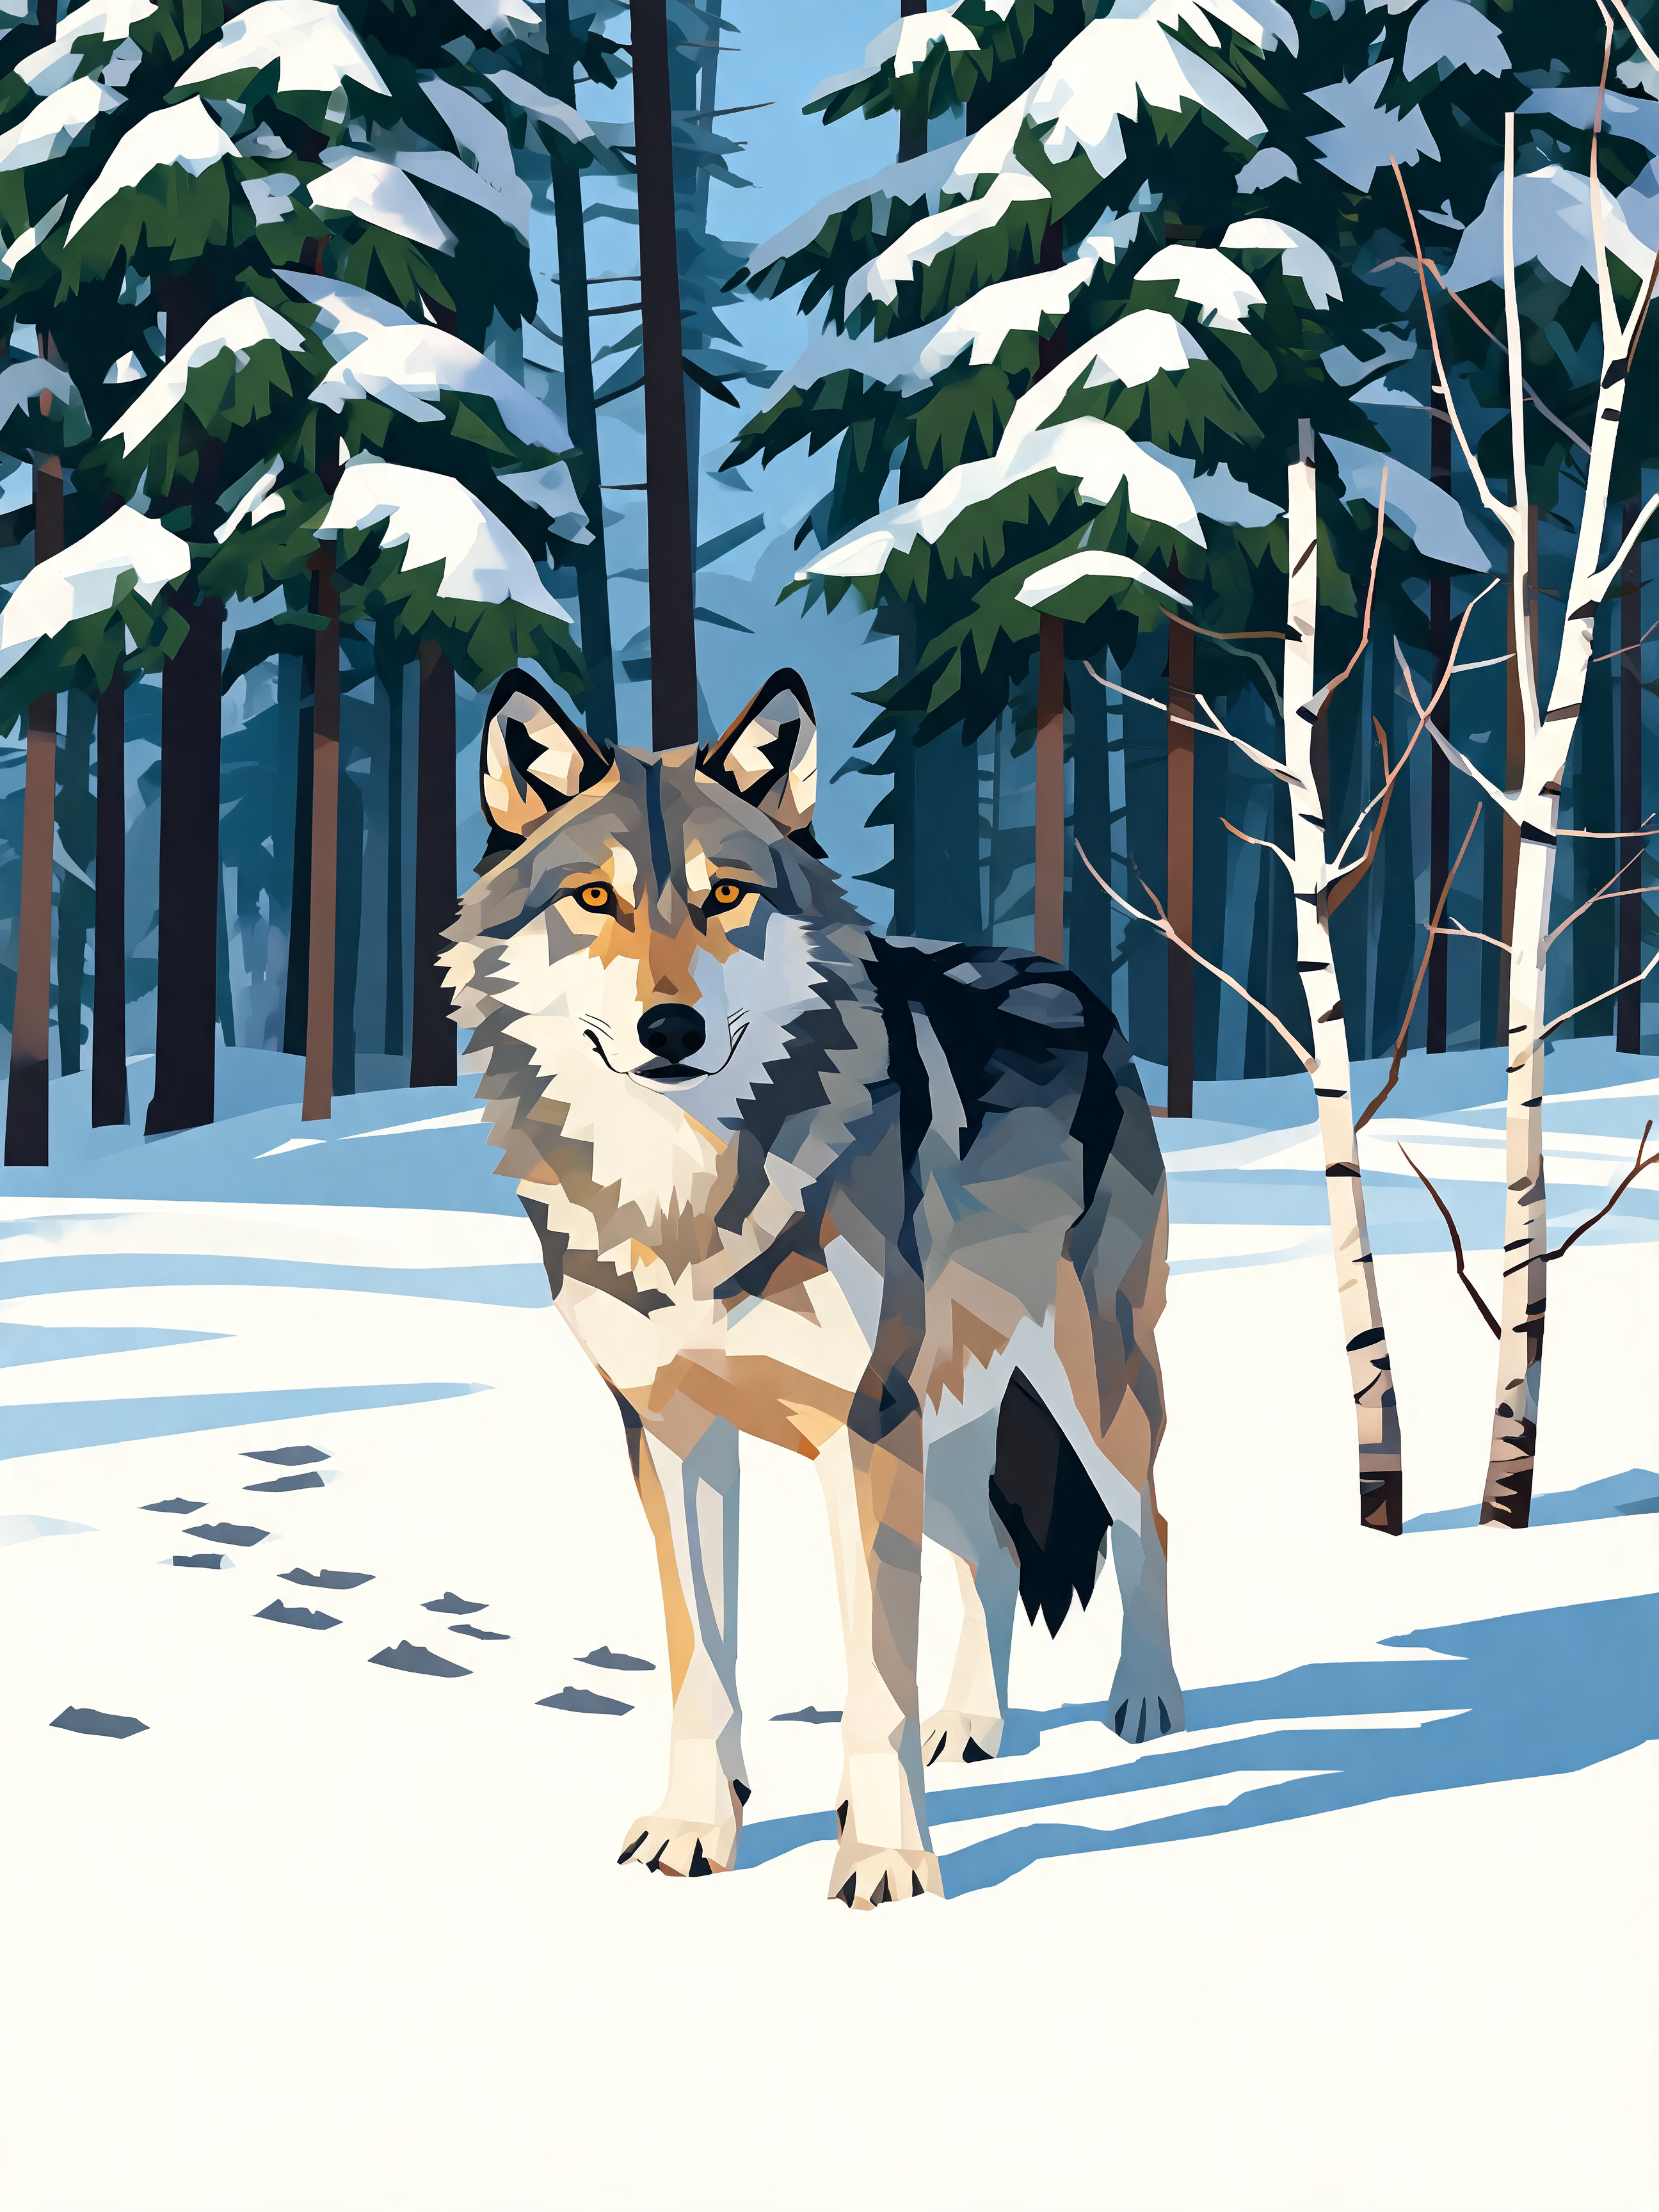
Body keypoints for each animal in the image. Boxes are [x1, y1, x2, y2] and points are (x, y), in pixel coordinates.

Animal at [443, 665, 1183, 1908]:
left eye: (725, 896)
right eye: (594, 897)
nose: (671, 1027)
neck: (686, 1191)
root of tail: (1064, 972)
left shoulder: (862, 1427)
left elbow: (874, 1684)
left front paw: (884, 1858)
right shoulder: (671, 1432)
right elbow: (701, 1664)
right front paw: (696, 1830)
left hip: (1081, 1383)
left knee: (1148, 1521)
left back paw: (1148, 1700)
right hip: (947, 1420)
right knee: (992, 1553)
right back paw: (974, 1725)